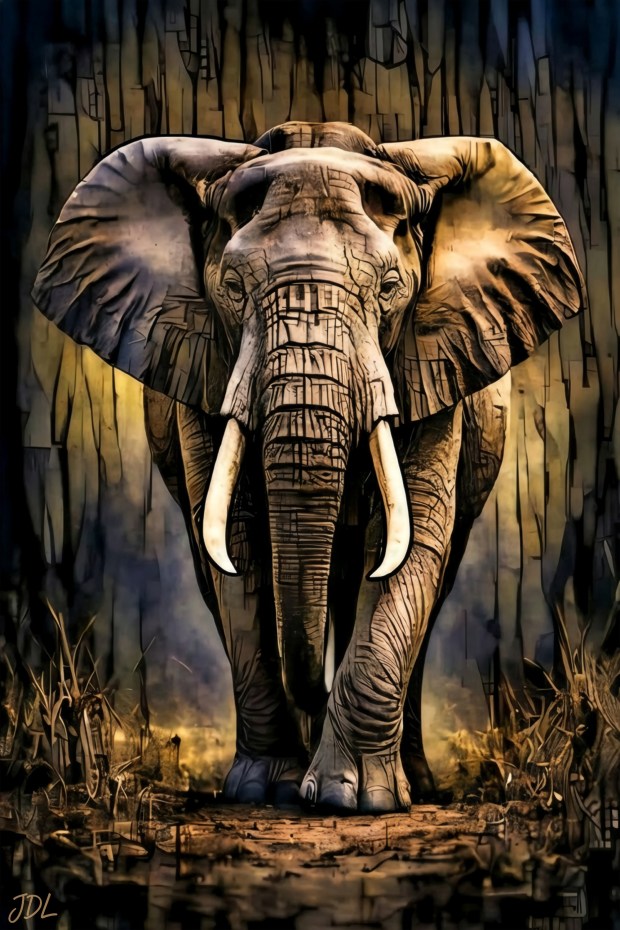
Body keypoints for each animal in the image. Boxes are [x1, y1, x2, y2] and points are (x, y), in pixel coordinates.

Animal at [32, 120, 586, 813]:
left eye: (389, 290)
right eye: (232, 289)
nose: (315, 701)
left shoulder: (435, 357)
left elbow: (413, 541)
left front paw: (357, 799)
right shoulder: (201, 363)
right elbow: (240, 545)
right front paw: (264, 790)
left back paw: (411, 781)